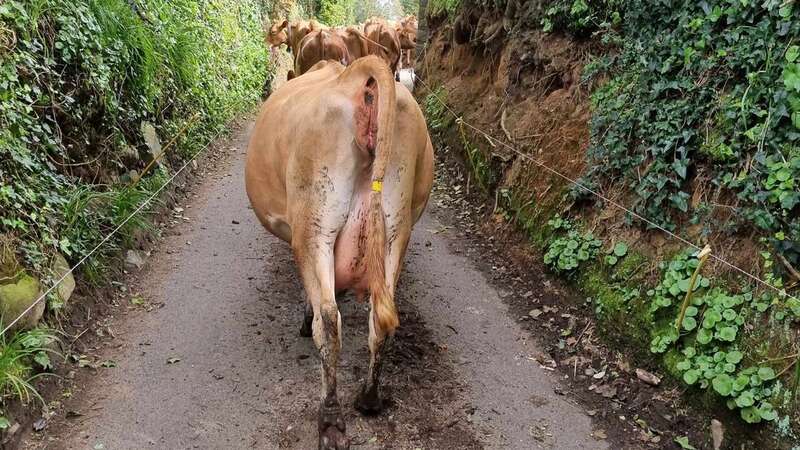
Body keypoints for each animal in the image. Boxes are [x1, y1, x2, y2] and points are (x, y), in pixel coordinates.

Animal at [244, 57, 434, 450]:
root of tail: (359, 77)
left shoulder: (300, 234)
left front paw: (304, 316)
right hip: (396, 228)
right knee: (381, 318)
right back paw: (369, 398)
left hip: (315, 226)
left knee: (329, 322)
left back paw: (331, 421)